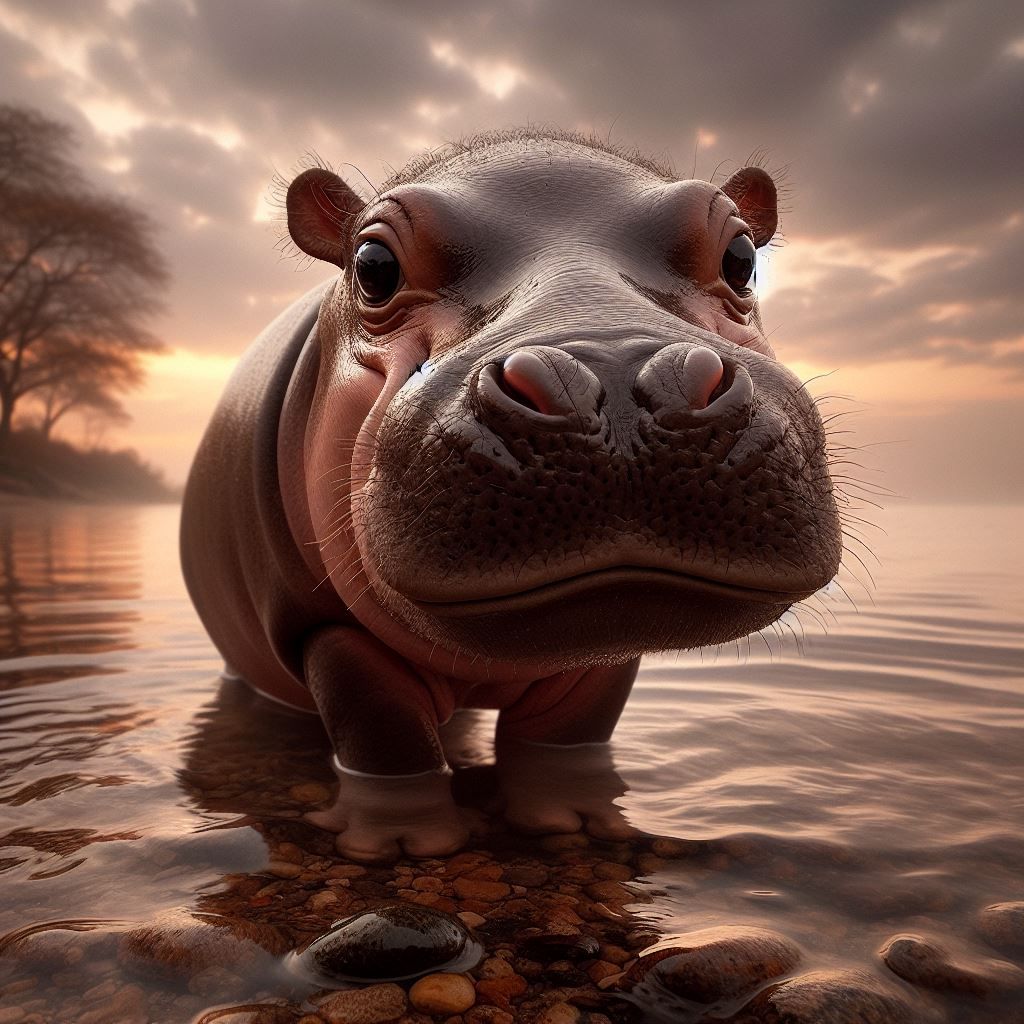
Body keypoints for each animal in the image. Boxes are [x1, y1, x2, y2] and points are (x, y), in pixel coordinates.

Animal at [180, 129, 841, 860]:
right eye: (373, 266)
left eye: (742, 258)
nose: (613, 378)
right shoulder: (323, 624)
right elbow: (385, 735)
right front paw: (404, 843)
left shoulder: (603, 648)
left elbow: (568, 736)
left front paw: (574, 823)